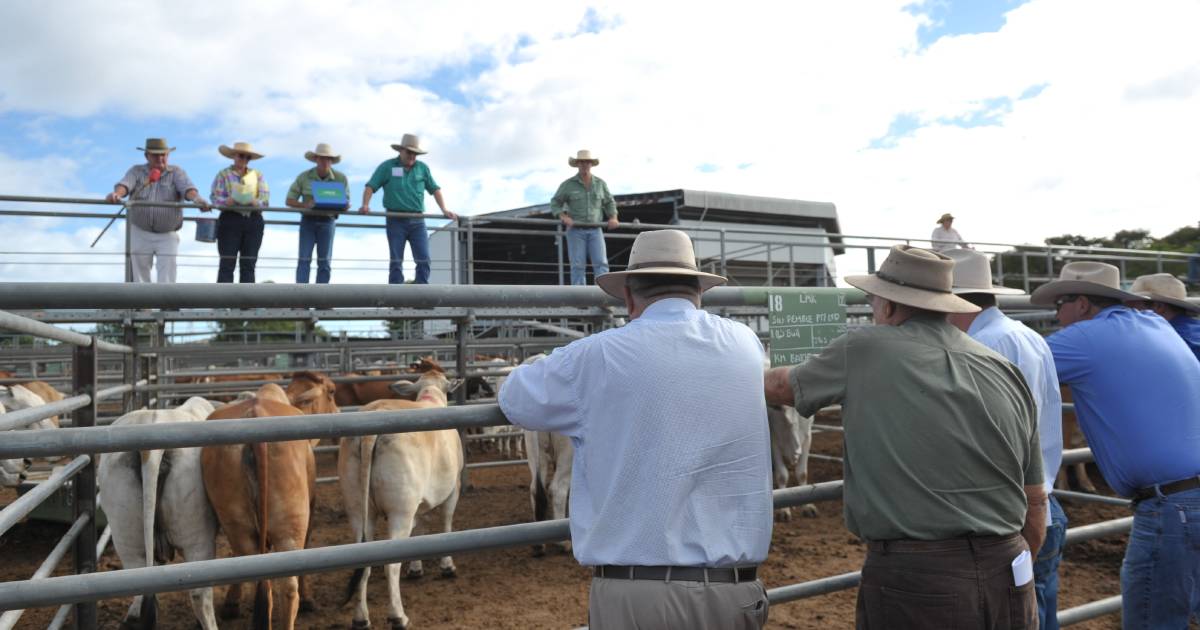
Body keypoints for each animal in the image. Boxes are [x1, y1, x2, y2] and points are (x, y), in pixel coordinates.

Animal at [204, 381, 321, 624]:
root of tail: (255, 413)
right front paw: (309, 600)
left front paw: (231, 602)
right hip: (291, 525)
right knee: (286, 589)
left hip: (235, 522)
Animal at [343, 362, 468, 628]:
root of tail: (369, 433)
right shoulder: (453, 487)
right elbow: (446, 523)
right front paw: (447, 565)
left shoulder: (419, 502)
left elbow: (420, 529)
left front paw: (416, 567)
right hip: (400, 508)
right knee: (391, 565)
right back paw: (398, 616)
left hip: (358, 508)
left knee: (362, 560)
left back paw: (361, 618)